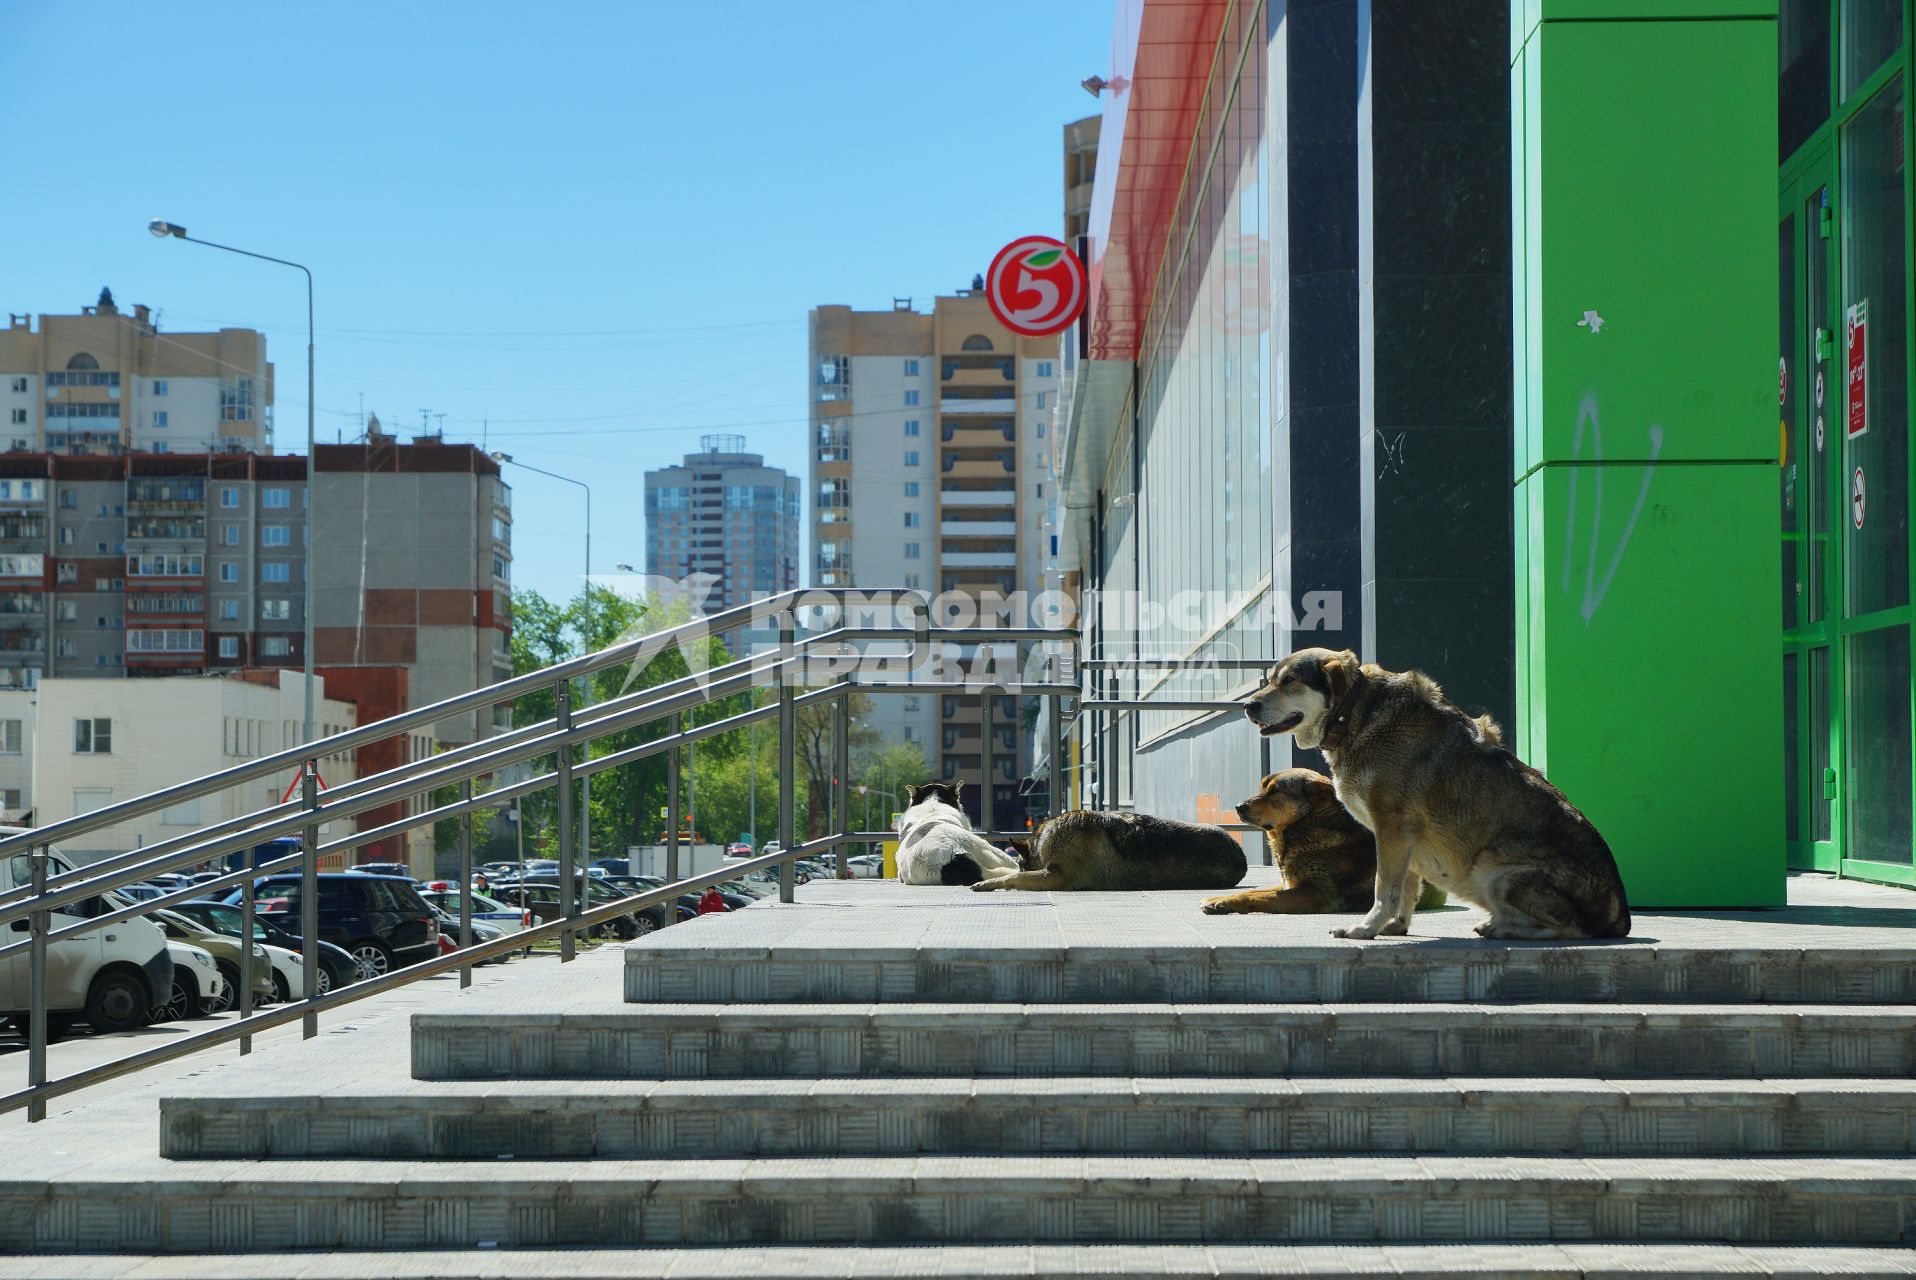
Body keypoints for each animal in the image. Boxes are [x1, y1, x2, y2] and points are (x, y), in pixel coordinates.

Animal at [1203, 770, 1440, 919]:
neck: (1308, 824)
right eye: (1262, 787)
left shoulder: (1314, 893)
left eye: (1275, 791)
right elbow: (1257, 892)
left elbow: (1258, 897)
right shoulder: (1288, 884)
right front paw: (1220, 899)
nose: (1238, 807)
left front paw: (1227, 903)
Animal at [1241, 651, 1632, 938]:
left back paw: (1505, 930)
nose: (1248, 705)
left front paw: (1366, 928)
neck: (1353, 716)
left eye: (1289, 681)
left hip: (1496, 872)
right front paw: (1395, 927)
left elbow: (1385, 889)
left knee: (1572, 928)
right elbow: (1406, 888)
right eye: (1272, 679)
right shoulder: (1405, 839)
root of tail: (1622, 917)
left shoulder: (1391, 828)